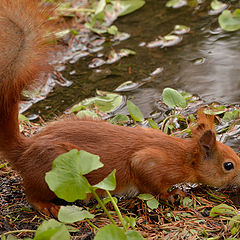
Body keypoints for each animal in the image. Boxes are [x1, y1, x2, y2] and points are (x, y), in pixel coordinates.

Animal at [1, 0, 240, 218]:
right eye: (228, 165)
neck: (183, 156)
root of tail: (24, 152)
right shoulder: (151, 163)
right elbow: (150, 182)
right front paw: (172, 194)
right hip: (52, 171)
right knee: (32, 195)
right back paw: (48, 205)